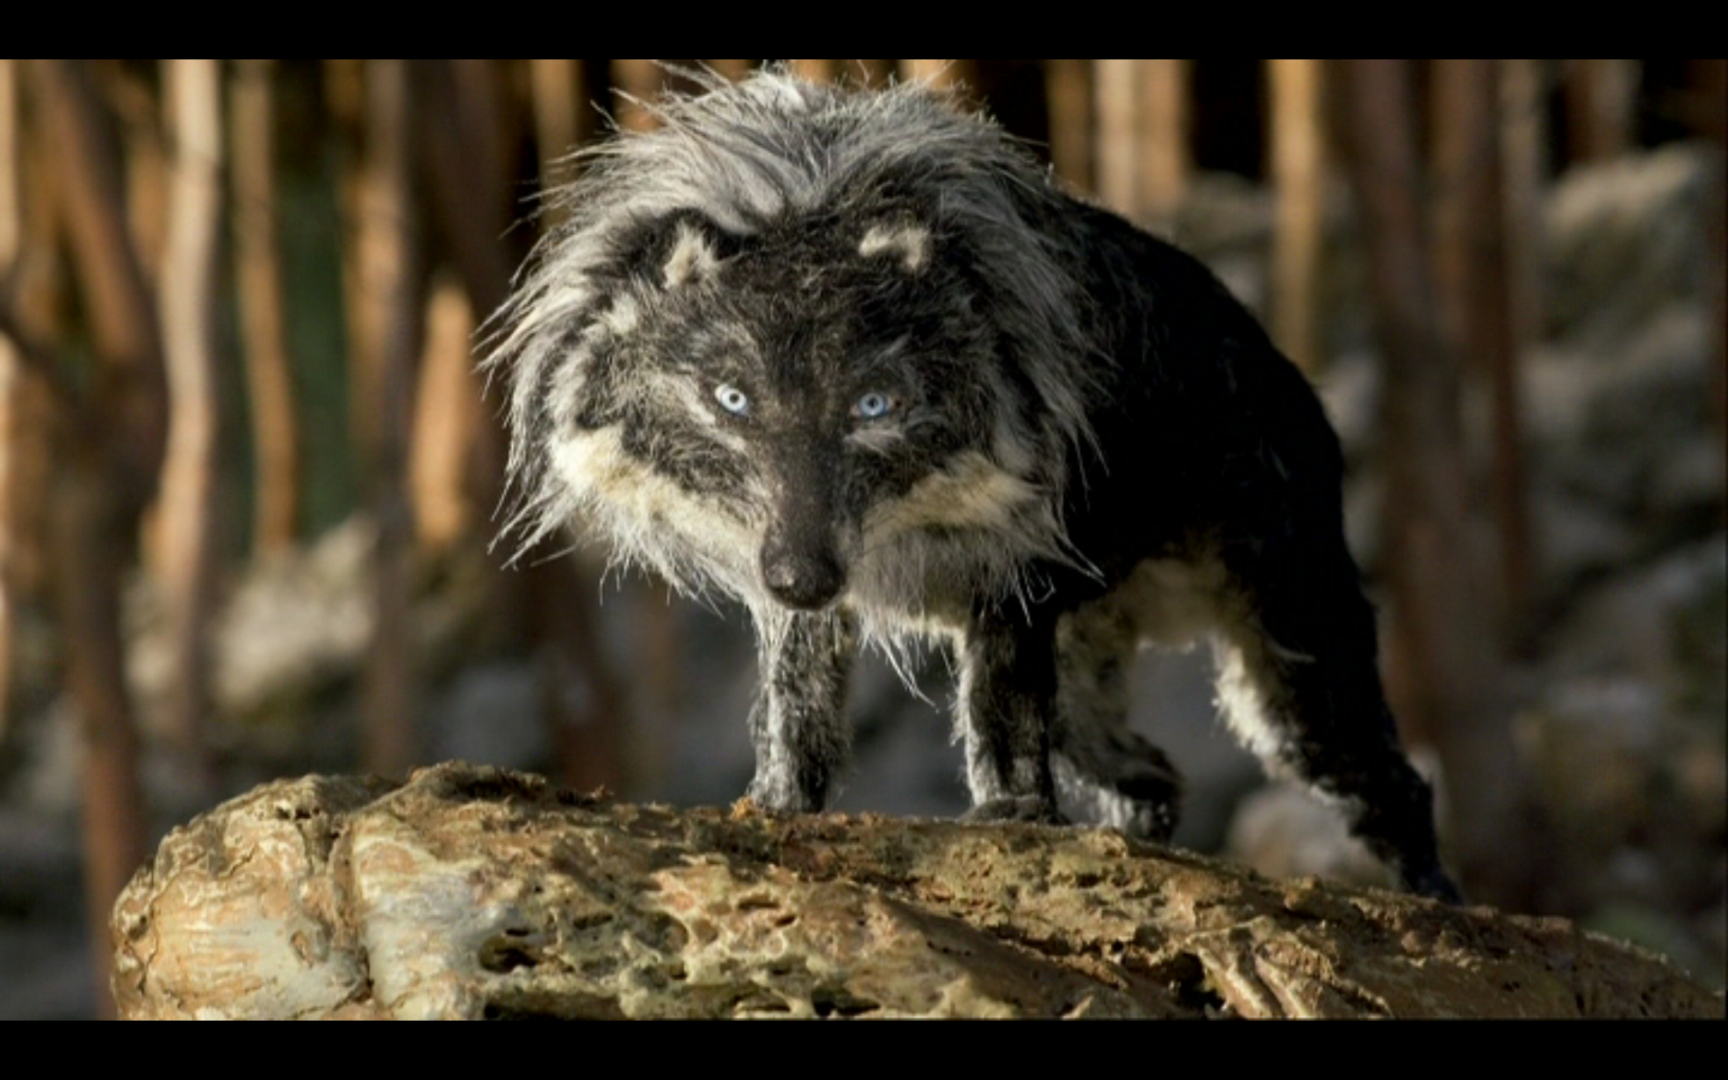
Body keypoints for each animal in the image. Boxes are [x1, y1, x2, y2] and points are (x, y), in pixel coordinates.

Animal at [485, 70, 1462, 902]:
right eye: (730, 399)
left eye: (873, 404)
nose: (803, 575)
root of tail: (1287, 371)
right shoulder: (810, 607)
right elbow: (795, 716)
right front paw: (772, 807)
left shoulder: (1010, 590)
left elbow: (999, 723)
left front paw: (1012, 822)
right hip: (1098, 683)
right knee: (1152, 776)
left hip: (1294, 670)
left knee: (1397, 786)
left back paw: (1438, 906)